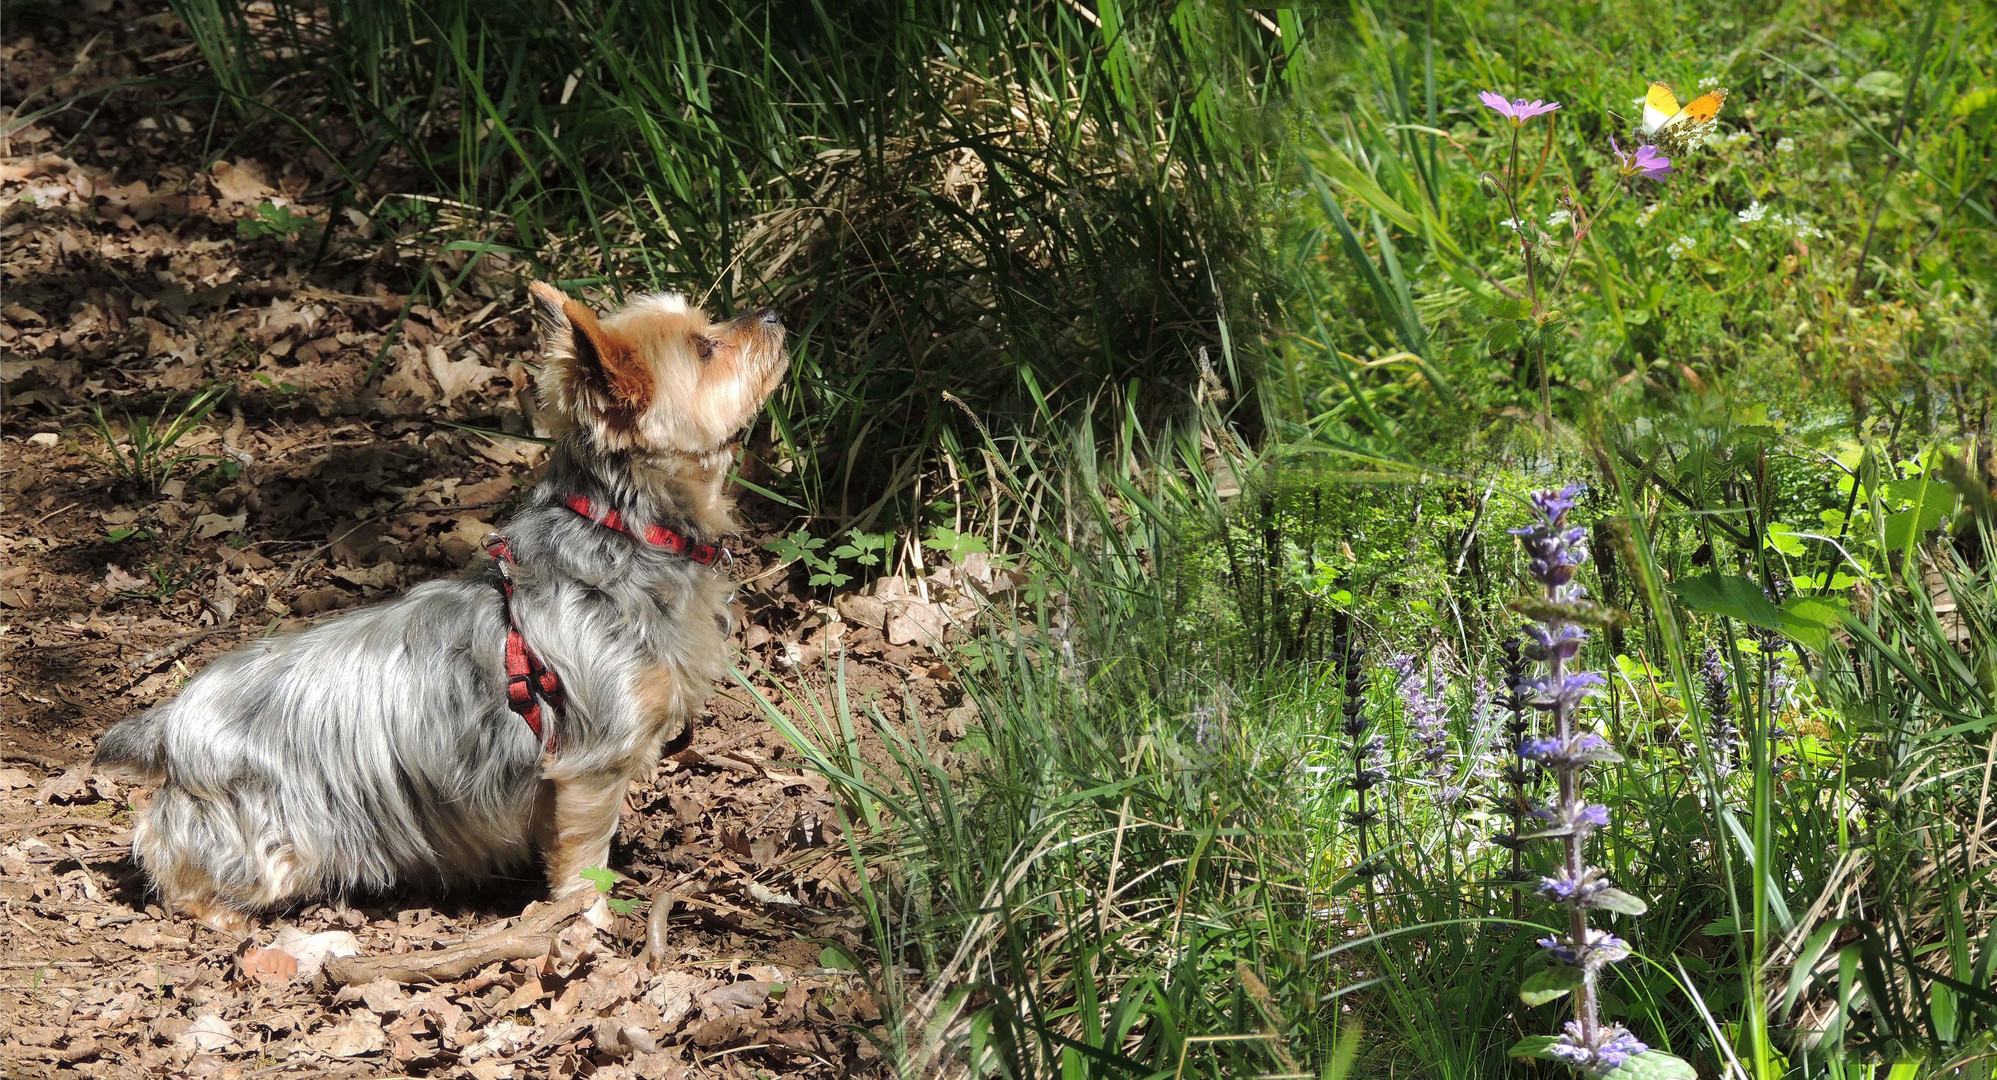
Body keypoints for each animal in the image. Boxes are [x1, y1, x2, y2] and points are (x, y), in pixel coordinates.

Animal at [95, 281, 786, 930]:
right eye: (705, 348)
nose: (774, 313)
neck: (627, 531)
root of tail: (172, 722)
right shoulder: (590, 766)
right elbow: (583, 863)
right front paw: (587, 926)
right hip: (268, 831)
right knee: (170, 858)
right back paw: (222, 915)